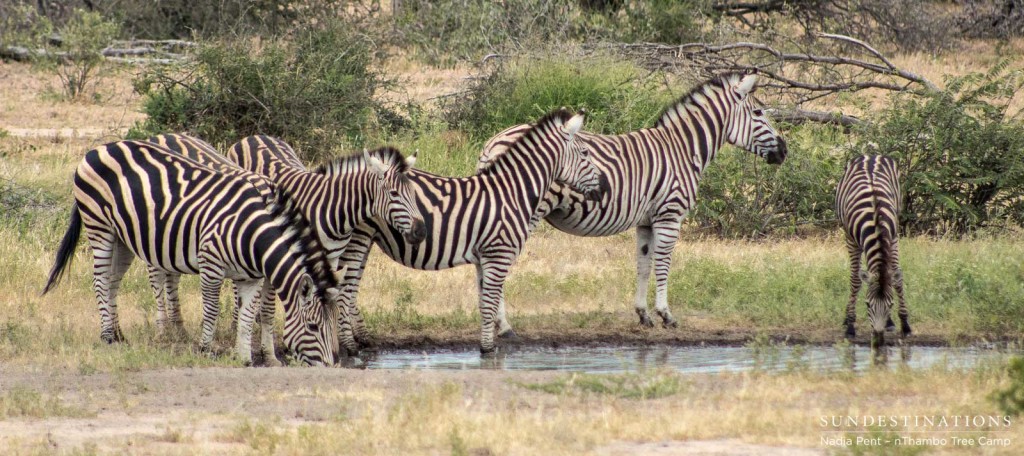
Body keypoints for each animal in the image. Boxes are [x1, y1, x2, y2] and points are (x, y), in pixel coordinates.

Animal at [41, 140, 342, 364]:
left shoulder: (251, 278)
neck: (253, 235)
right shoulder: (211, 265)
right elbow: (212, 309)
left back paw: (118, 334)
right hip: (99, 225)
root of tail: (99, 148)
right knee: (101, 281)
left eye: (334, 326)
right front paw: (205, 349)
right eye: (313, 327)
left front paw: (244, 357)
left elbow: (247, 316)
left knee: (113, 282)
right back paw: (107, 337)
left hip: (123, 237)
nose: (329, 366)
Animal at [224, 135, 428, 348]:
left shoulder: (331, 258)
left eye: (413, 193)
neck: (334, 211)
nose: (421, 232)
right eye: (394, 193)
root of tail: (253, 137)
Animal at [294, 108, 606, 354]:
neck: (511, 192)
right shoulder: (499, 254)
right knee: (346, 291)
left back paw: (360, 340)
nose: (603, 186)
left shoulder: (484, 257)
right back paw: (350, 347)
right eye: (585, 153)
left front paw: (490, 343)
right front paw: (488, 350)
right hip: (357, 238)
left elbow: (484, 301)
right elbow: (490, 301)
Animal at [475, 73, 786, 329]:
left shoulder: (646, 222)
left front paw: (643, 314)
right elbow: (663, 263)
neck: (683, 149)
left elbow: (643, 264)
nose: (784, 151)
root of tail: (492, 142)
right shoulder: (669, 215)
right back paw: (502, 324)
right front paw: (666, 314)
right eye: (758, 112)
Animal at [835, 152, 909, 344]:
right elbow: (855, 281)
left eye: (891, 304)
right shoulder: (852, 241)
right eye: (867, 305)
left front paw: (904, 323)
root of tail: (870, 154)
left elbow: (897, 279)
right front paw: (850, 325)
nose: (878, 339)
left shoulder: (894, 238)